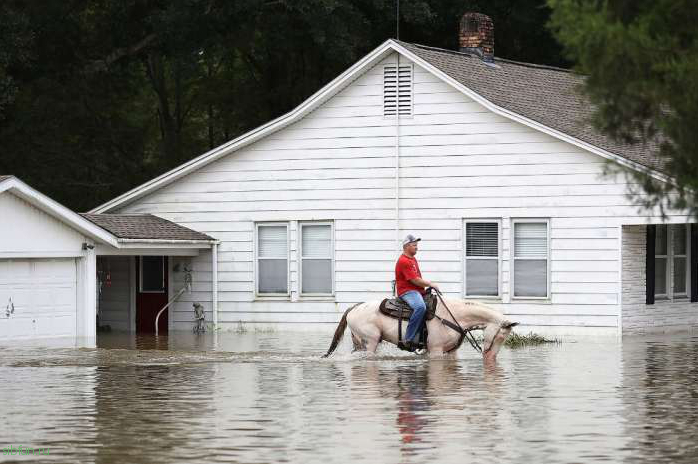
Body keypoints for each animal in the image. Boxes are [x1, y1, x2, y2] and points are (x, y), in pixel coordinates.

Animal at [322, 298, 516, 362]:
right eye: (499, 336)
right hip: (370, 341)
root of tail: (354, 307)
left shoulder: (451, 352)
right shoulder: (436, 350)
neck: (454, 315)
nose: (490, 359)